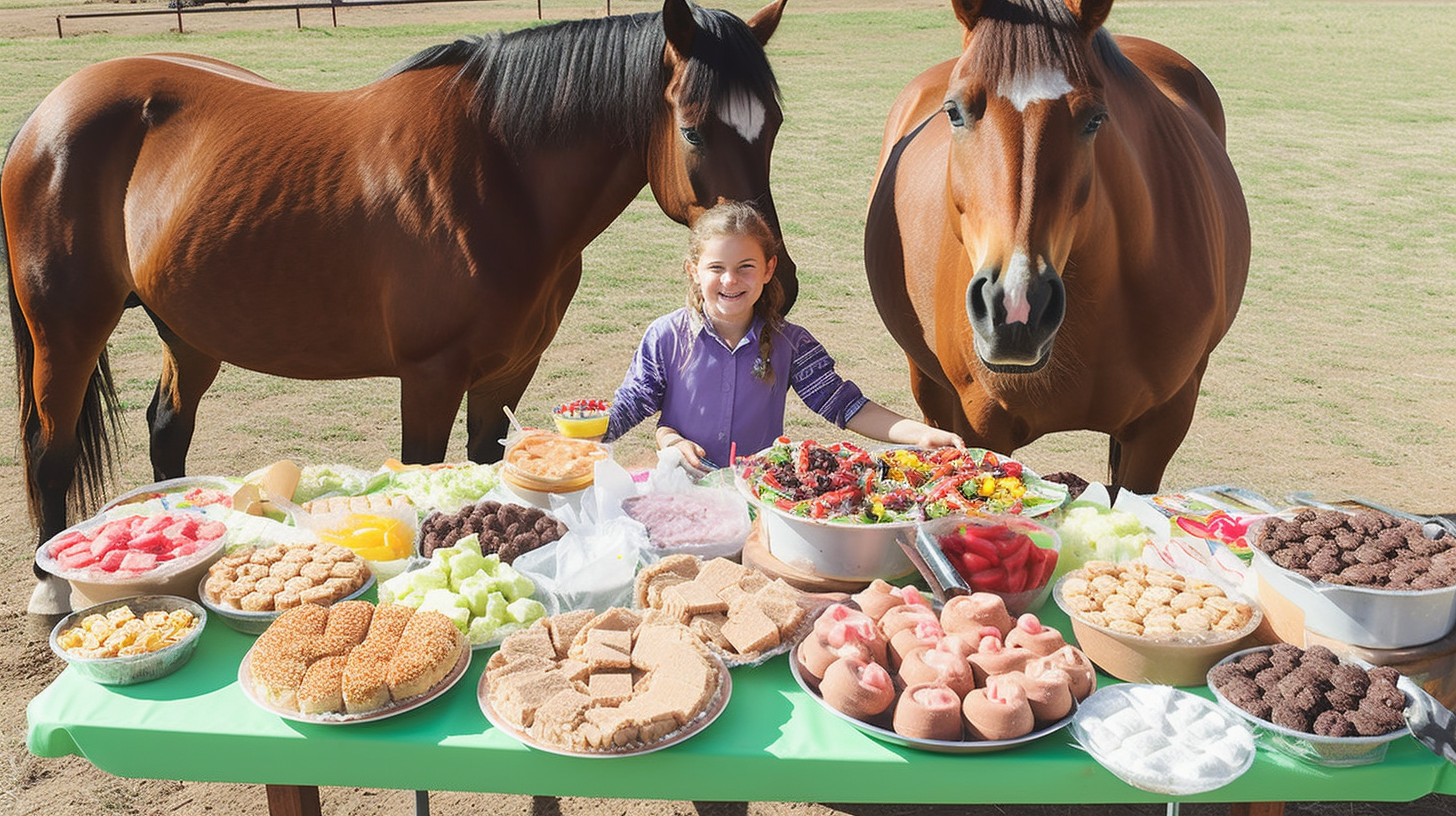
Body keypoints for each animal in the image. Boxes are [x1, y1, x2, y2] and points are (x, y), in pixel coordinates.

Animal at [2, 0, 797, 612]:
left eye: (774, 127)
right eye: (692, 129)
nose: (774, 281)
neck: (501, 173)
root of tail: (48, 115)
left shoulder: (507, 371)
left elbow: (488, 460)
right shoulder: (431, 374)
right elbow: (420, 466)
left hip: (189, 332)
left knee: (166, 430)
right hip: (67, 332)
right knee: (50, 450)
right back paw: (50, 584)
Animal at [861, 0, 1252, 495]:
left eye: (1094, 118)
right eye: (954, 111)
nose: (1015, 308)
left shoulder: (1162, 427)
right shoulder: (981, 421)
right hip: (926, 380)